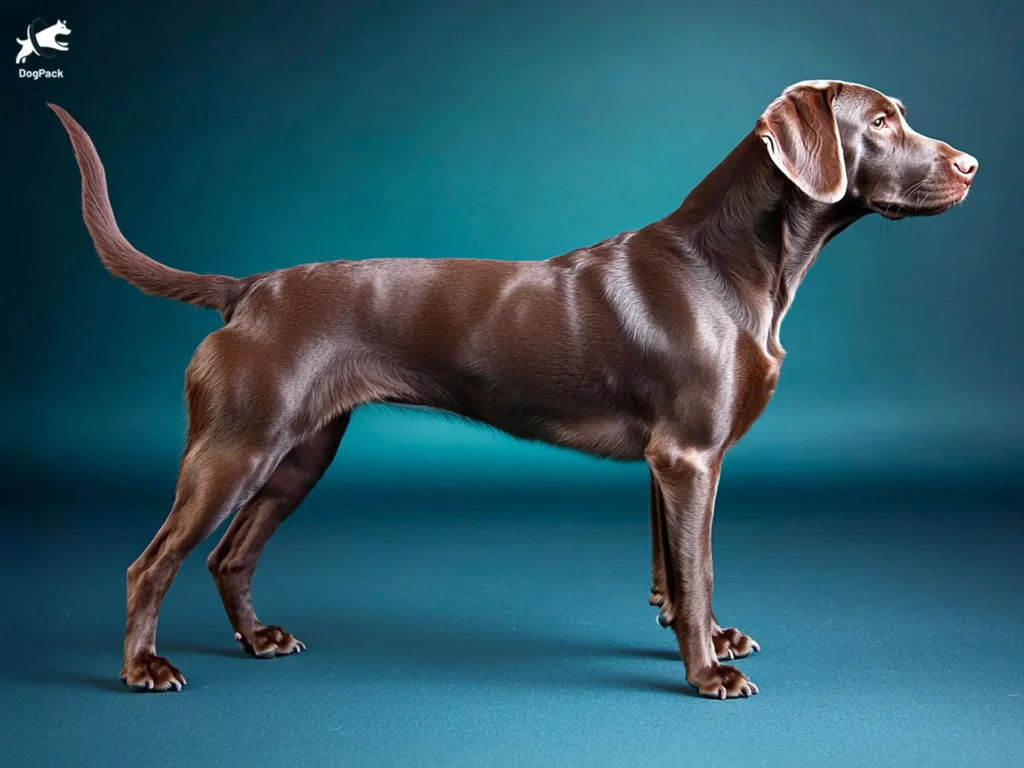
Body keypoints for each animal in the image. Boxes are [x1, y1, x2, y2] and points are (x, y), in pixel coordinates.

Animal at [49, 81, 974, 700]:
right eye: (881, 121)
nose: (971, 164)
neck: (734, 263)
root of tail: (249, 290)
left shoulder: (669, 463)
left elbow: (676, 575)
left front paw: (709, 639)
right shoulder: (689, 457)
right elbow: (699, 567)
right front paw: (708, 672)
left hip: (300, 452)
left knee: (229, 555)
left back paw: (259, 640)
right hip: (236, 447)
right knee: (152, 562)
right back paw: (143, 667)